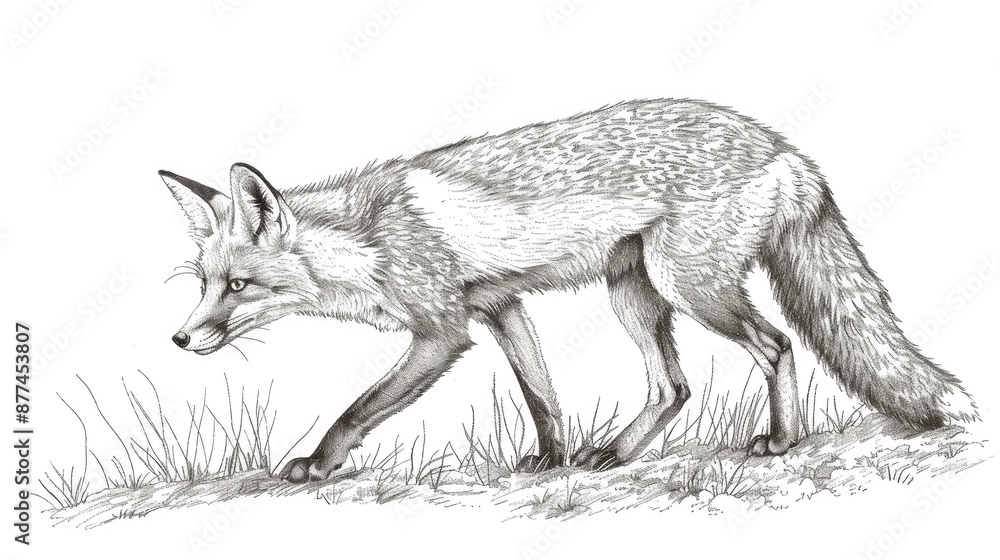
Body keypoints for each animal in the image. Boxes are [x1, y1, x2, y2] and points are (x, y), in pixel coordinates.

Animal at [160, 98, 978, 482]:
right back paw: (613, 454)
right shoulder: (500, 306)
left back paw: (780, 440)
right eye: (204, 285)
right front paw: (550, 458)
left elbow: (358, 409)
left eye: (239, 285)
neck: (368, 238)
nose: (180, 338)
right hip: (634, 294)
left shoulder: (441, 330)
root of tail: (784, 147)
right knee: (674, 387)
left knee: (775, 346)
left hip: (692, 287)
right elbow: (541, 395)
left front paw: (316, 464)